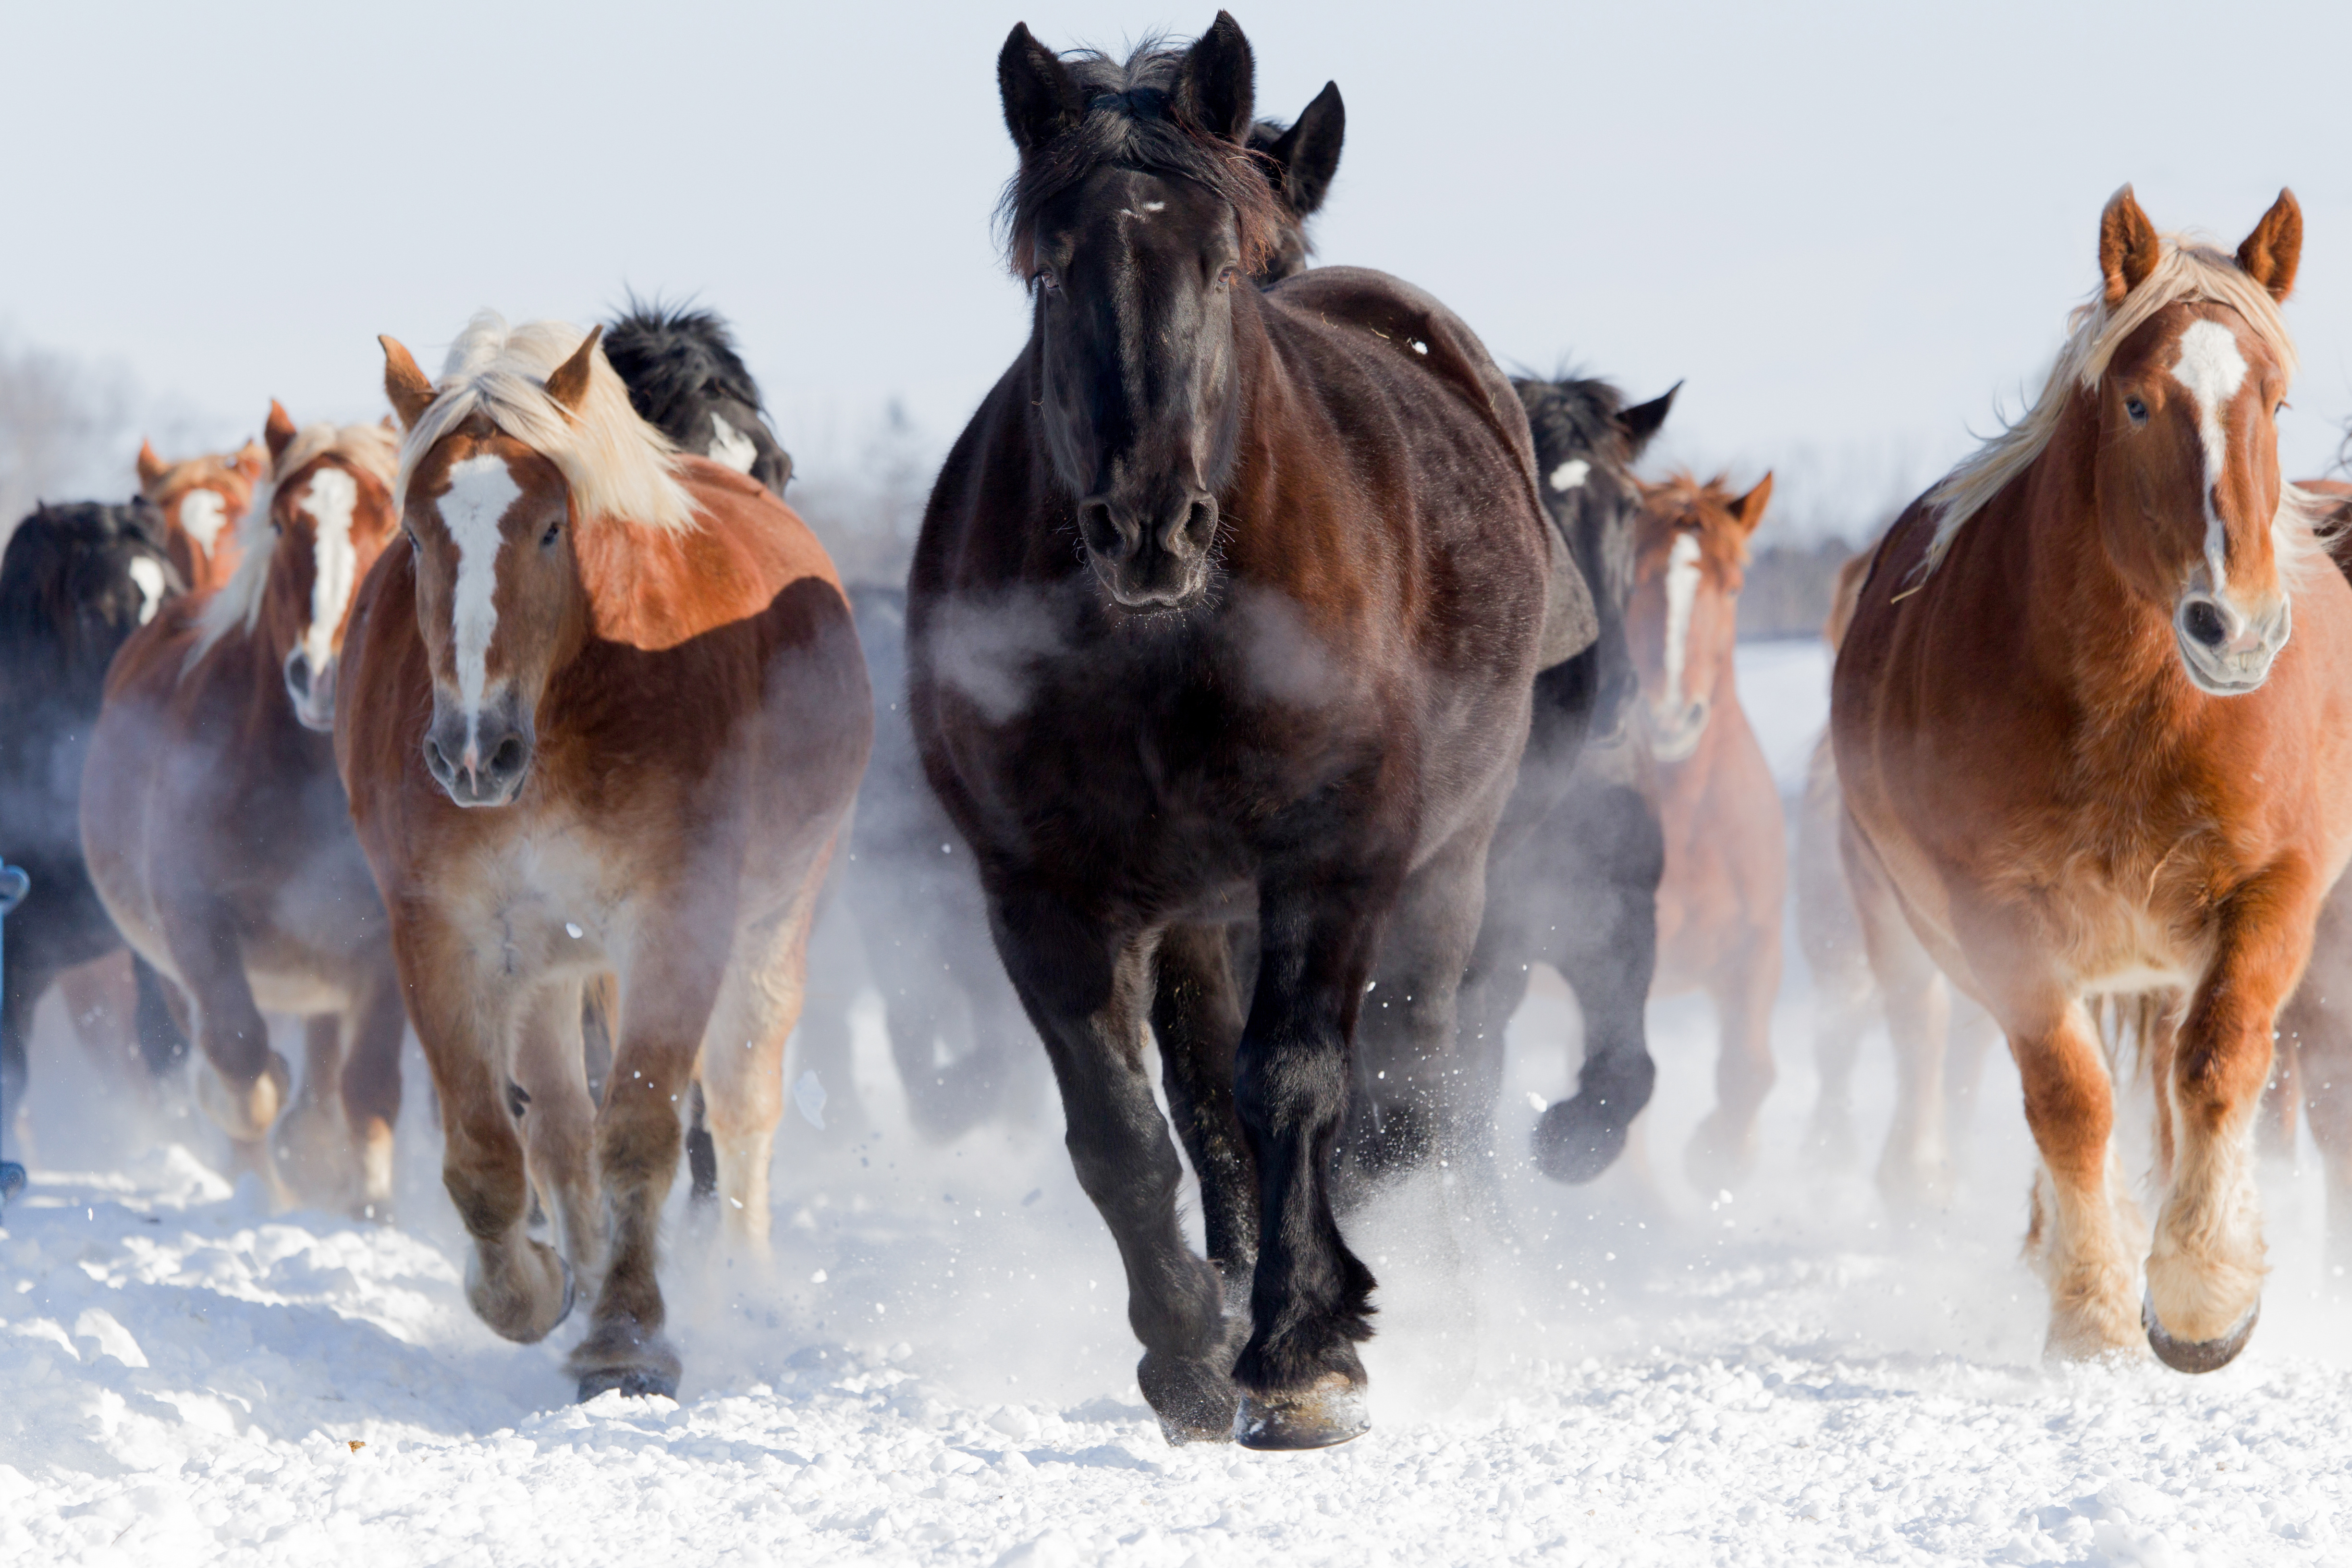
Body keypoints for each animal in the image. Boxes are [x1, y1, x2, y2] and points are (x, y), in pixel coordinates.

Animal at [343, 314, 868, 1400]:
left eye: (552, 527)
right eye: (414, 534)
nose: (473, 752)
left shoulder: (677, 924)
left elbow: (642, 1130)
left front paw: (628, 1339)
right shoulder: (443, 932)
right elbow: (490, 1150)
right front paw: (538, 1290)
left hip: (769, 929)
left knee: (740, 1109)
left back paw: (741, 1283)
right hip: (551, 960)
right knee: (556, 1125)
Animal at [909, 17, 1582, 1449]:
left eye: (1221, 262)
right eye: (1049, 266)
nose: (1148, 523)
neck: (1167, 644)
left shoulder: (1335, 858)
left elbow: (1299, 1086)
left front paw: (1302, 1351)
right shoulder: (1046, 895)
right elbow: (1125, 1129)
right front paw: (1188, 1350)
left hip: (1447, 864)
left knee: (1404, 1084)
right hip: (1194, 908)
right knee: (1209, 1095)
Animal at [1832, 187, 2351, 1370]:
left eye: (2278, 399)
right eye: (2138, 404)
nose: (2236, 629)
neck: (2132, 713)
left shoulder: (2278, 890)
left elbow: (2218, 1062)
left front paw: (2204, 1293)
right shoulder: (1997, 917)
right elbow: (2069, 1100)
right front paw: (2095, 1310)